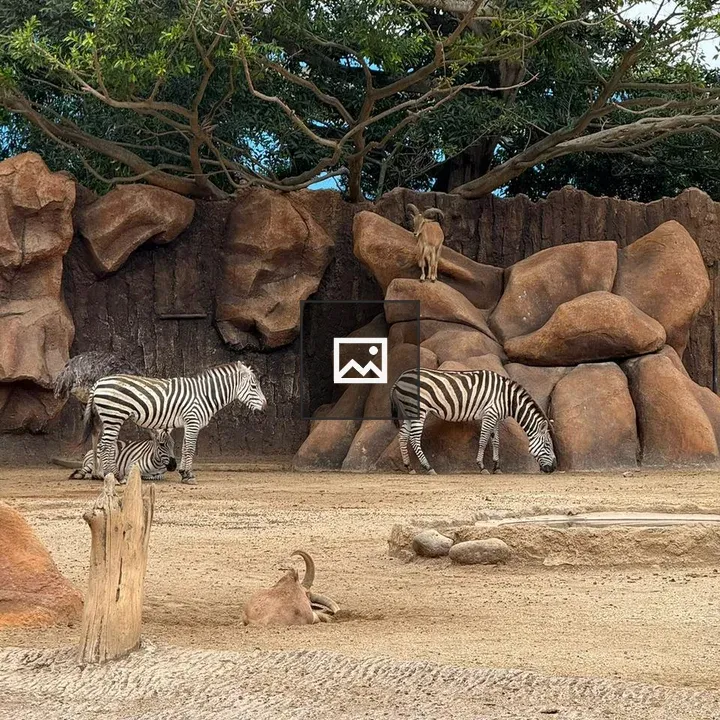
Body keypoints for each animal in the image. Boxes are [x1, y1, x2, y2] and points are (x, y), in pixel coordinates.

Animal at [82, 361, 267, 484]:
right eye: (253, 387)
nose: (265, 408)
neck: (205, 395)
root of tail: (98, 382)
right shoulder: (193, 420)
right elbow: (190, 449)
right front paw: (189, 476)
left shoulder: (189, 423)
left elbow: (184, 447)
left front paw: (184, 473)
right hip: (114, 415)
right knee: (106, 444)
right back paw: (113, 476)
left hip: (105, 417)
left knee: (100, 441)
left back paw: (104, 474)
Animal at [390, 368, 557, 475]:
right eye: (547, 445)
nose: (554, 468)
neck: (507, 398)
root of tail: (399, 379)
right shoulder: (489, 415)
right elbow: (483, 440)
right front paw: (482, 466)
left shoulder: (495, 417)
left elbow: (496, 442)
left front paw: (497, 467)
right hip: (418, 410)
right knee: (414, 438)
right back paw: (428, 467)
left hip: (409, 411)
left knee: (403, 437)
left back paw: (409, 467)